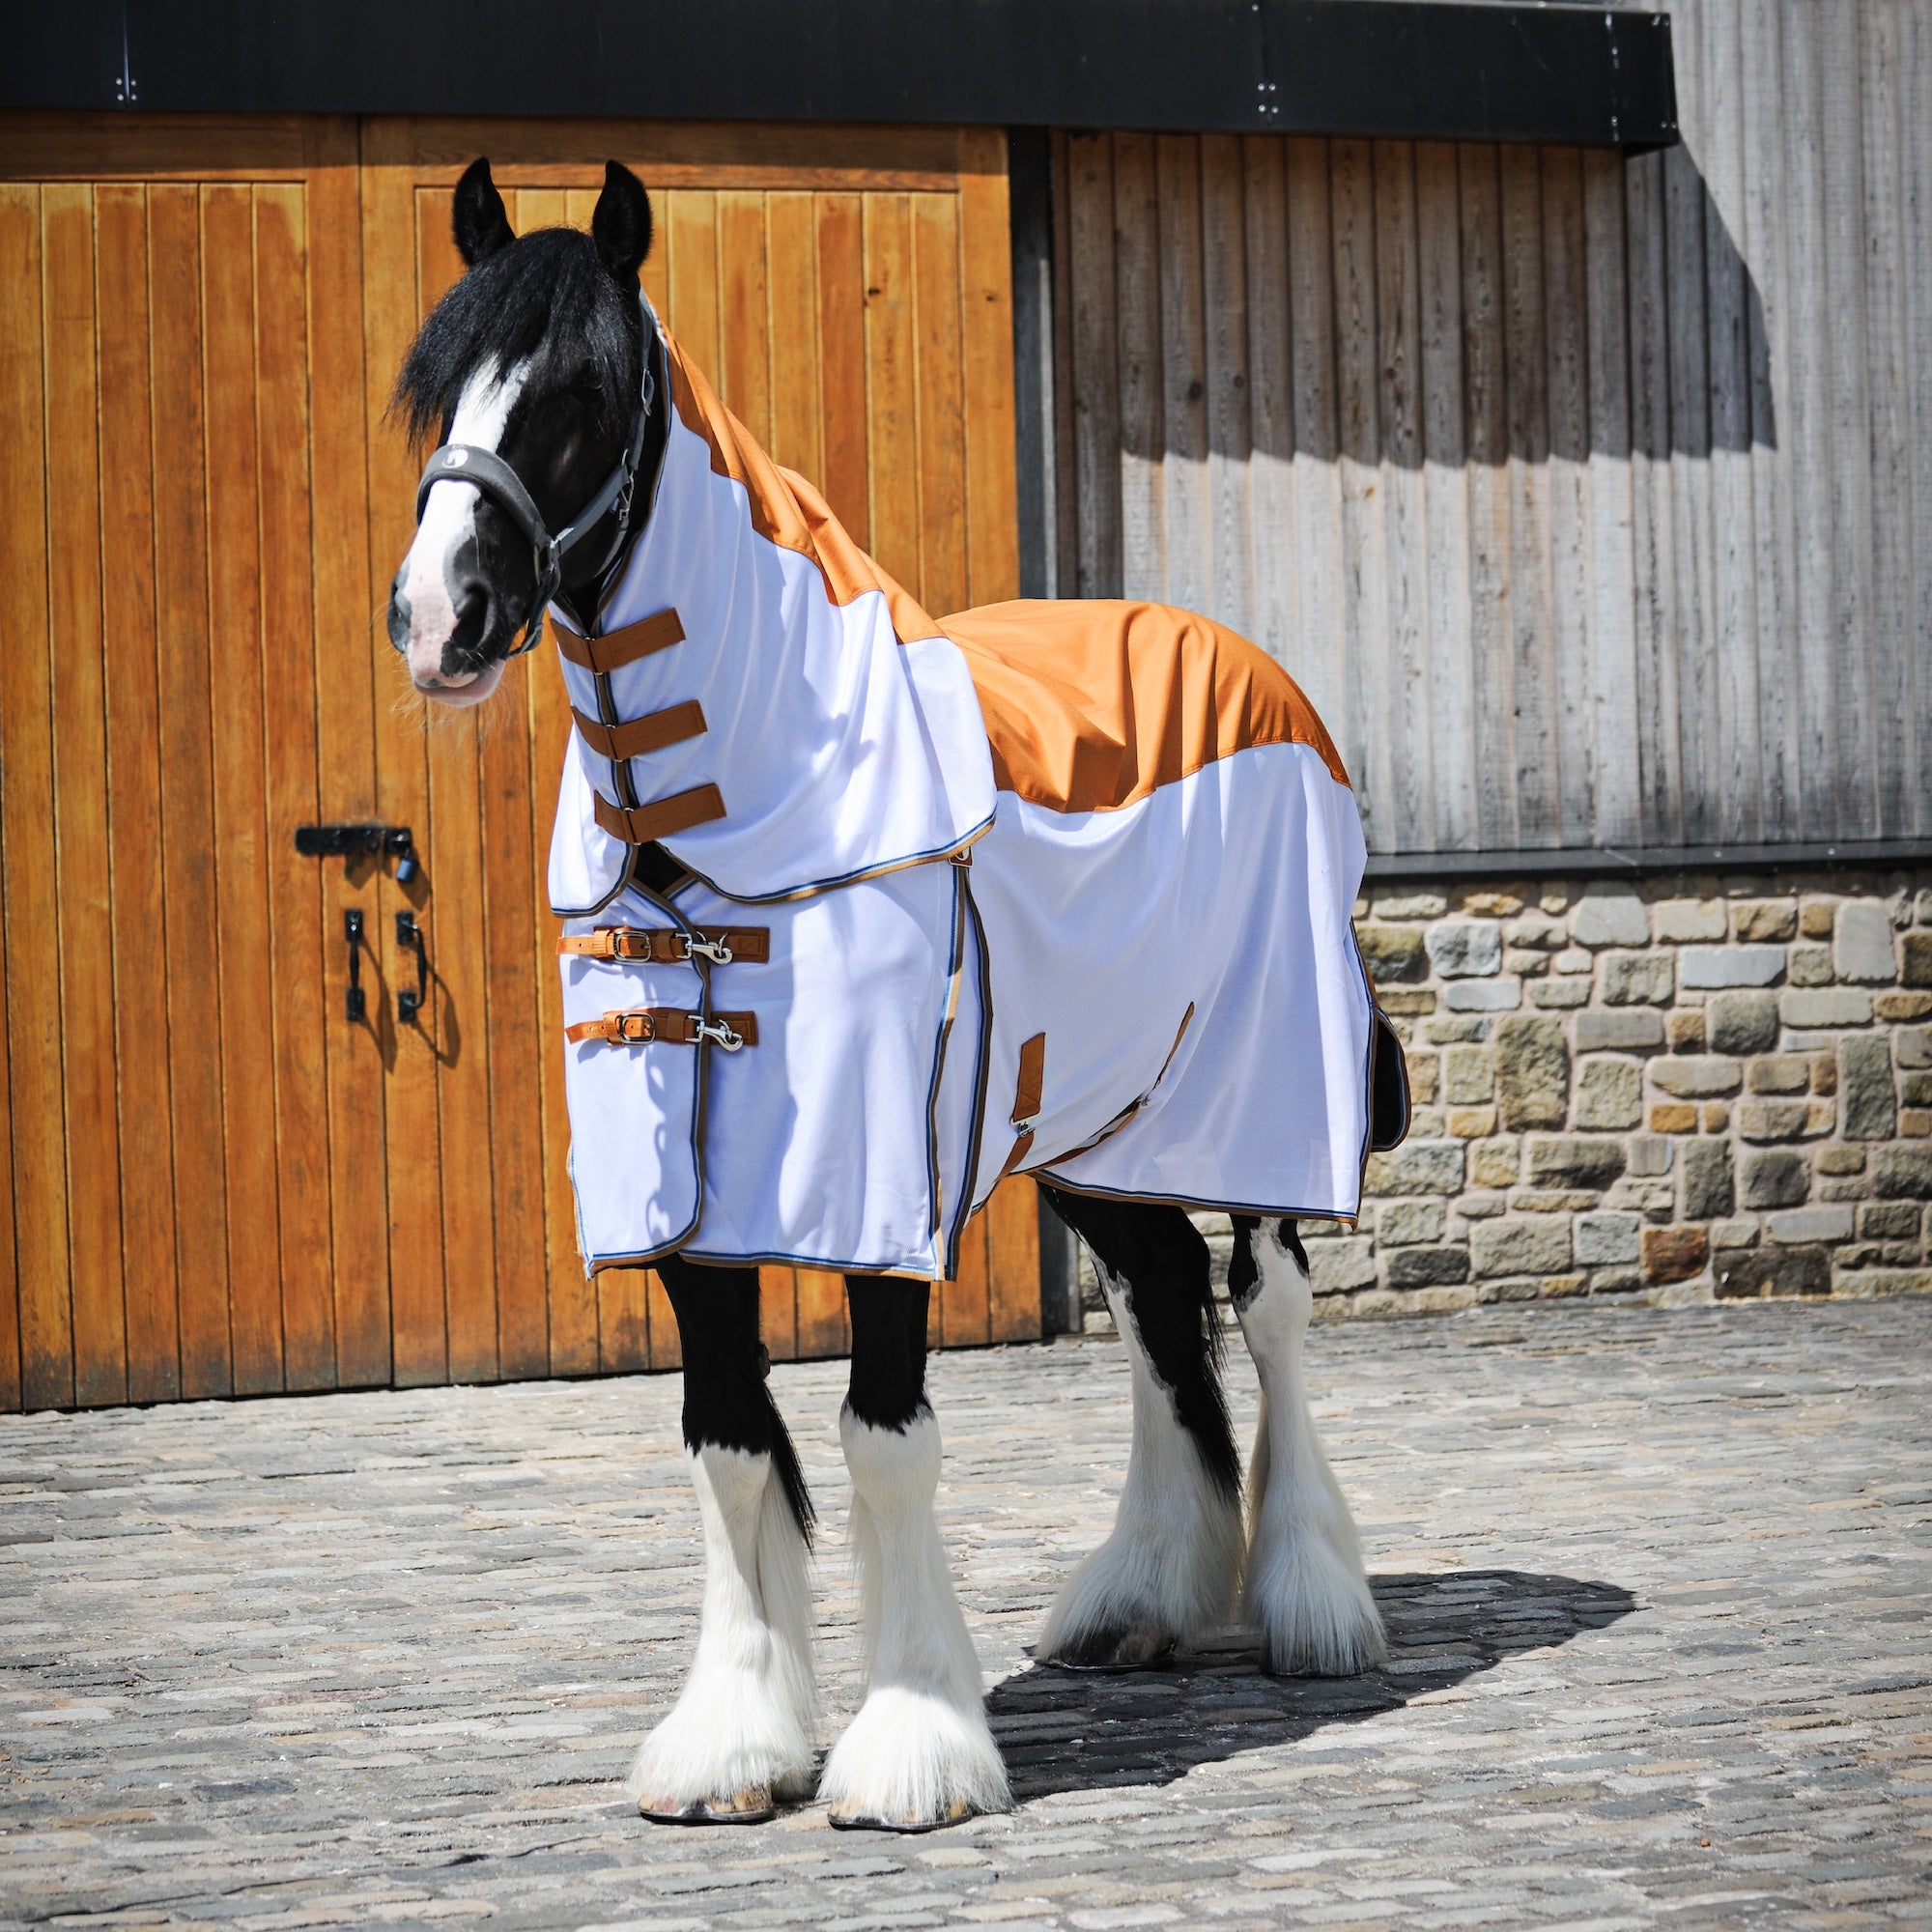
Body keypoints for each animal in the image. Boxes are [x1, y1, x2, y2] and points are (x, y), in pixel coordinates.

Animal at [386, 156, 1406, 1833]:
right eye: (436, 388)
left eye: (581, 393)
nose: (438, 615)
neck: (734, 804)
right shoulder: (686, 1206)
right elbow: (730, 1445)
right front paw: (733, 1746)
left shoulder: (877, 1181)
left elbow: (882, 1439)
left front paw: (913, 1746)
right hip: (1097, 1129)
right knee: (1160, 1311)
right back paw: (1140, 1597)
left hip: (1259, 1102)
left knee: (1266, 1308)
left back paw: (1316, 1607)